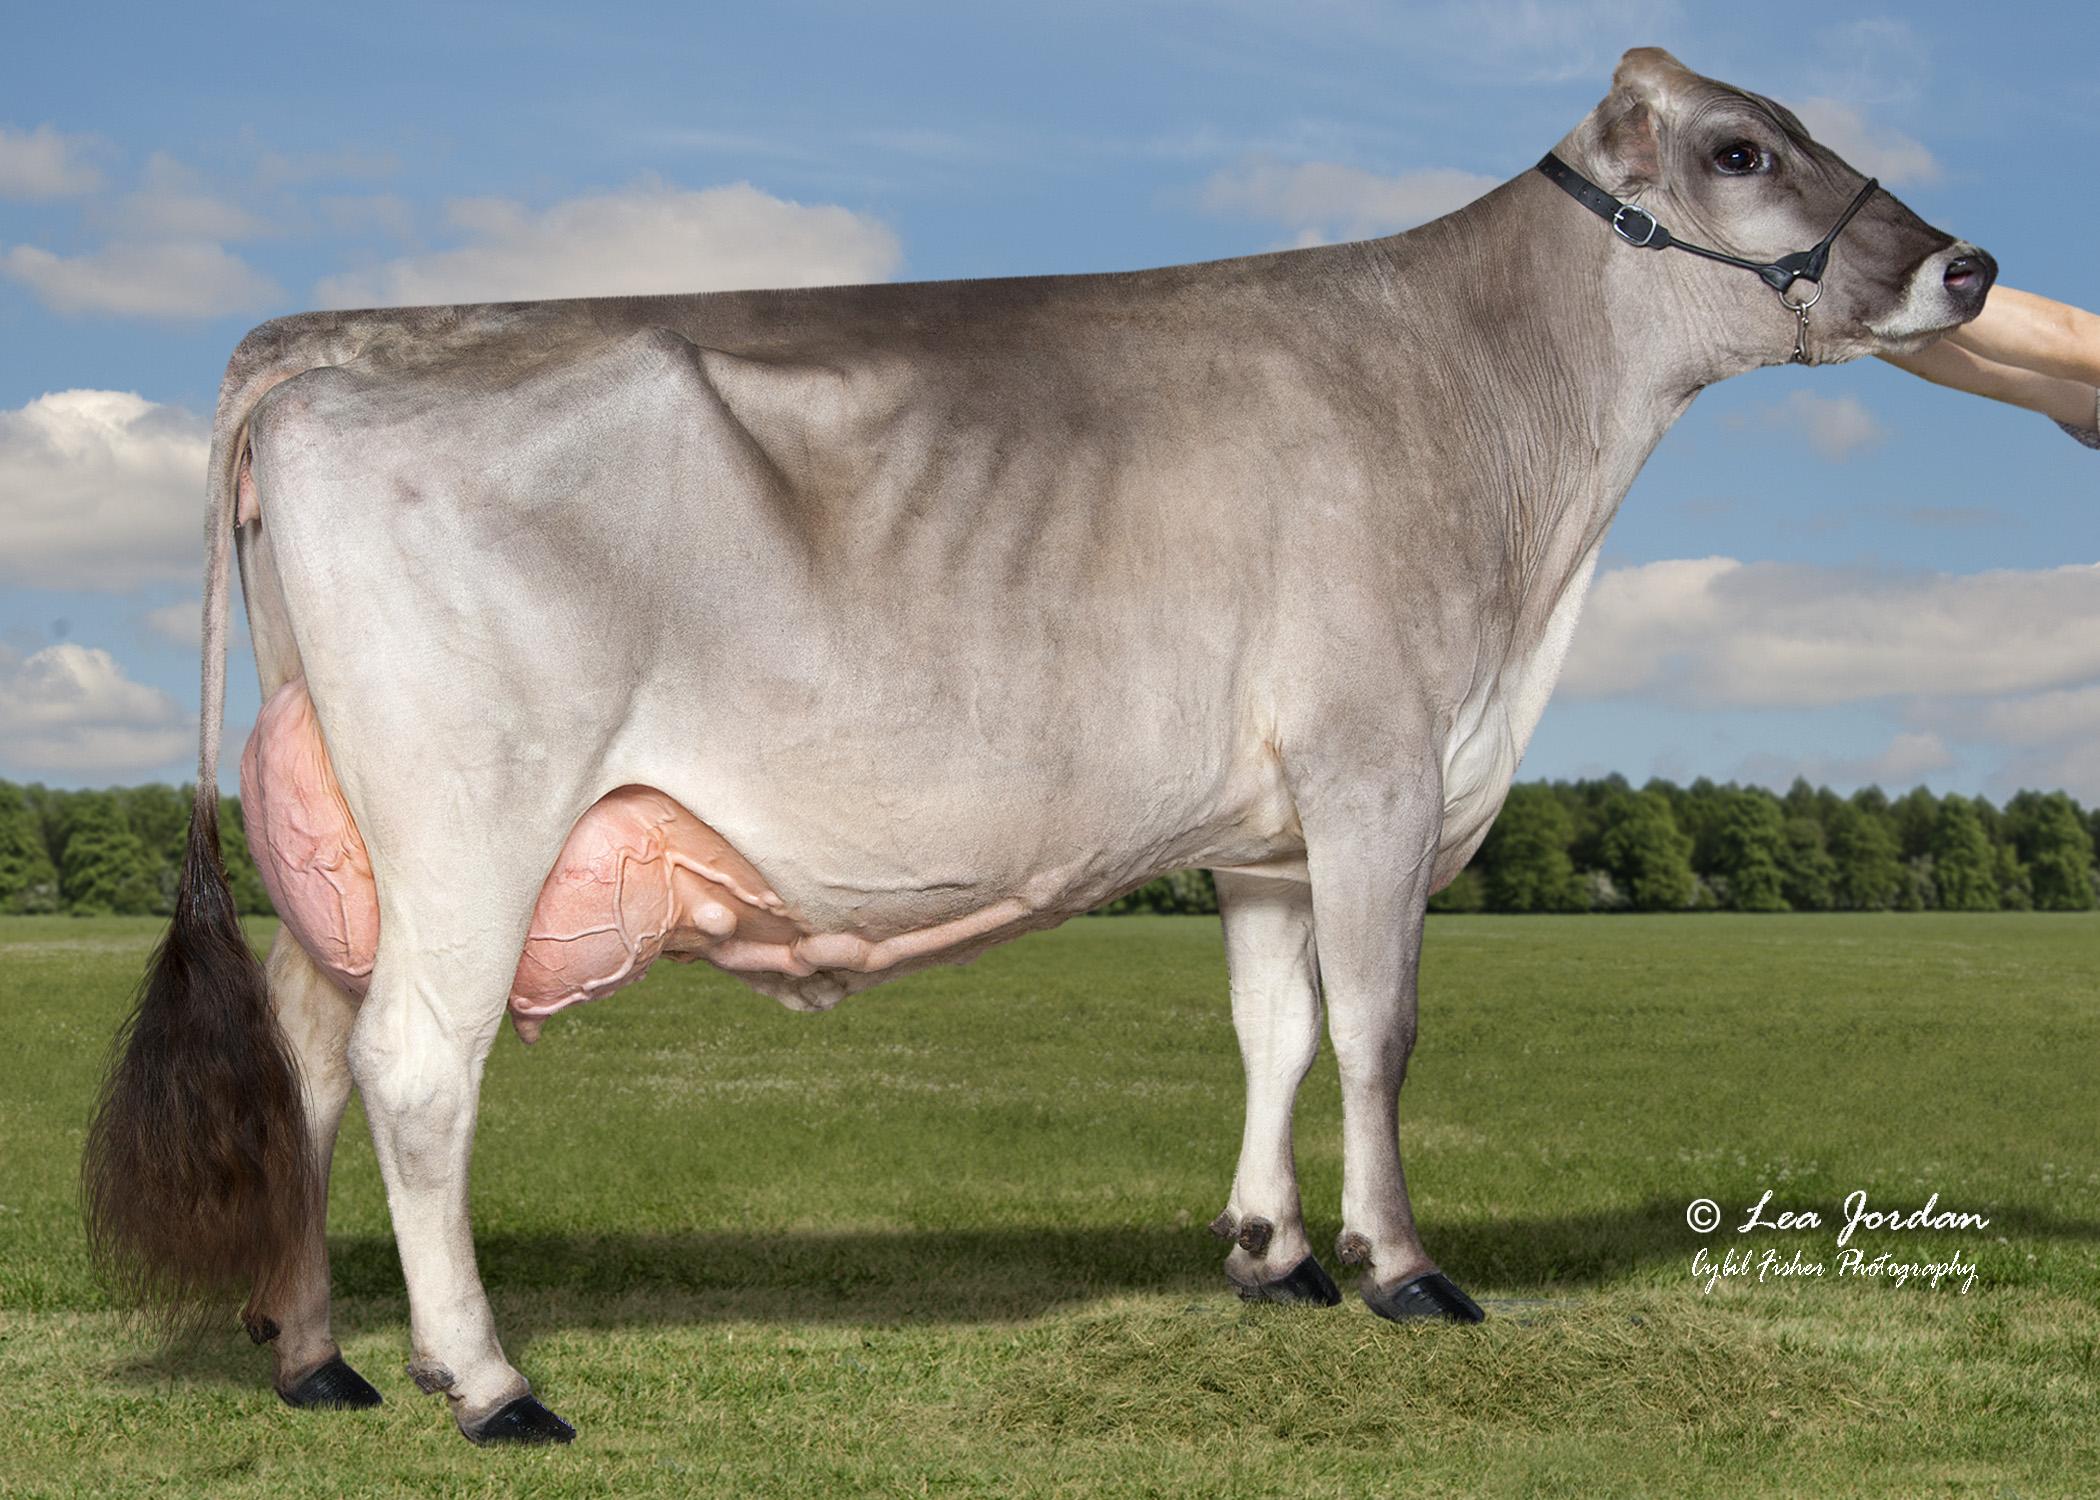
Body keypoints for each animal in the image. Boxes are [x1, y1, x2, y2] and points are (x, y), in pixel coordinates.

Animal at [84, 48, 1993, 1445]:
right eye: (1744, 149)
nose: (1965, 263)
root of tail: (326, 339)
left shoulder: (1264, 826)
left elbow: (1275, 1027)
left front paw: (1269, 1254)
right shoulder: (1376, 763)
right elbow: (1380, 1034)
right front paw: (1401, 1269)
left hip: (352, 835)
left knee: (307, 1060)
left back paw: (314, 1357)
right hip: (475, 810)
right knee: (417, 1069)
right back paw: (484, 1383)